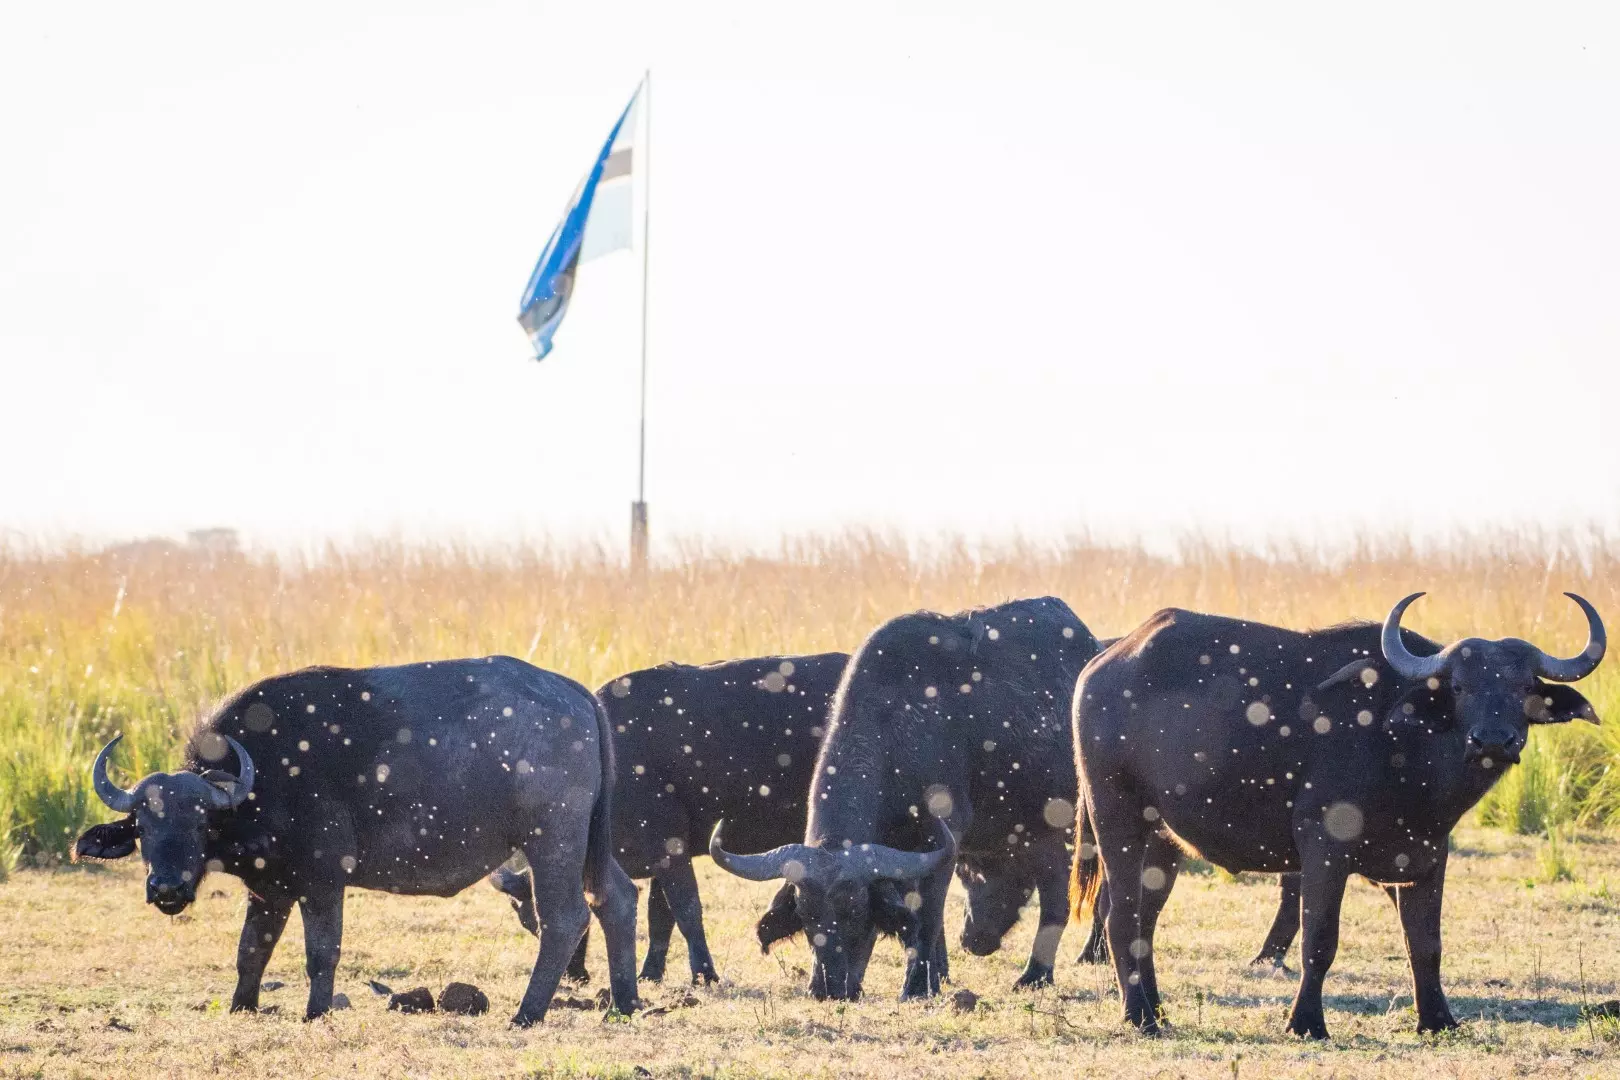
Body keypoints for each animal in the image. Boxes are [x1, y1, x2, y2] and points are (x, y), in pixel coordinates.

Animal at [73, 656, 640, 1025]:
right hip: (589, 843)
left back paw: (526, 1013)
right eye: (142, 826)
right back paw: (624, 1003)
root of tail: (575, 693)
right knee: (618, 897)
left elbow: (321, 952)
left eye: (199, 823)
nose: (167, 889)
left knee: (565, 917)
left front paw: (316, 1012)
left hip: (552, 841)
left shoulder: (323, 882)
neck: (267, 773)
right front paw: (241, 1006)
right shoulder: (269, 889)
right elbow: (251, 950)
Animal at [713, 596, 1101, 999]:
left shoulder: (942, 840)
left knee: (1067, 896)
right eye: (805, 915)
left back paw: (1040, 972)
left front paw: (916, 985)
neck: (900, 725)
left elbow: (927, 915)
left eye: (856, 910)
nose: (827, 987)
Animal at [1071, 594, 1604, 1038]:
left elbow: (1424, 945)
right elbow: (1320, 941)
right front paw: (1306, 1022)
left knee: (1145, 922)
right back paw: (1140, 1018)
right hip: (1115, 814)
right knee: (1119, 916)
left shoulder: (1428, 856)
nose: (1493, 740)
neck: (1403, 746)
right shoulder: (1324, 849)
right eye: (1458, 686)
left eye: (1524, 685)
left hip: (1165, 839)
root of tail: (1100, 665)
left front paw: (1437, 1020)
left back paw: (1157, 1011)